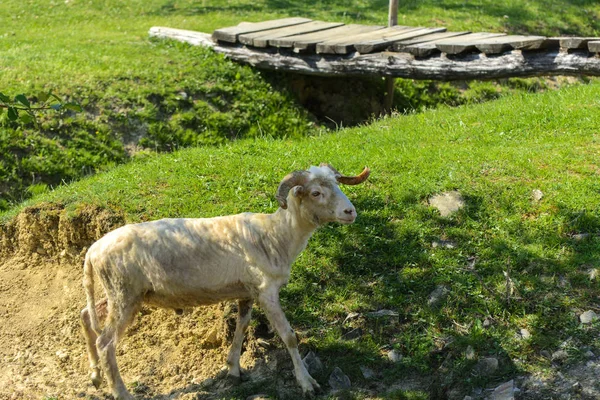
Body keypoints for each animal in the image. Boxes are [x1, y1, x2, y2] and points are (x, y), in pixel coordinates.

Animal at [79, 163, 370, 400]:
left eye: (337, 184)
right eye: (315, 193)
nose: (350, 211)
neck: (277, 235)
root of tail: (93, 251)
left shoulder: (247, 292)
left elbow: (242, 326)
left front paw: (233, 368)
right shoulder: (267, 291)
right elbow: (289, 337)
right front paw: (307, 382)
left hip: (123, 293)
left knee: (85, 315)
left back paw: (94, 375)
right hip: (124, 294)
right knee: (106, 343)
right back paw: (121, 392)